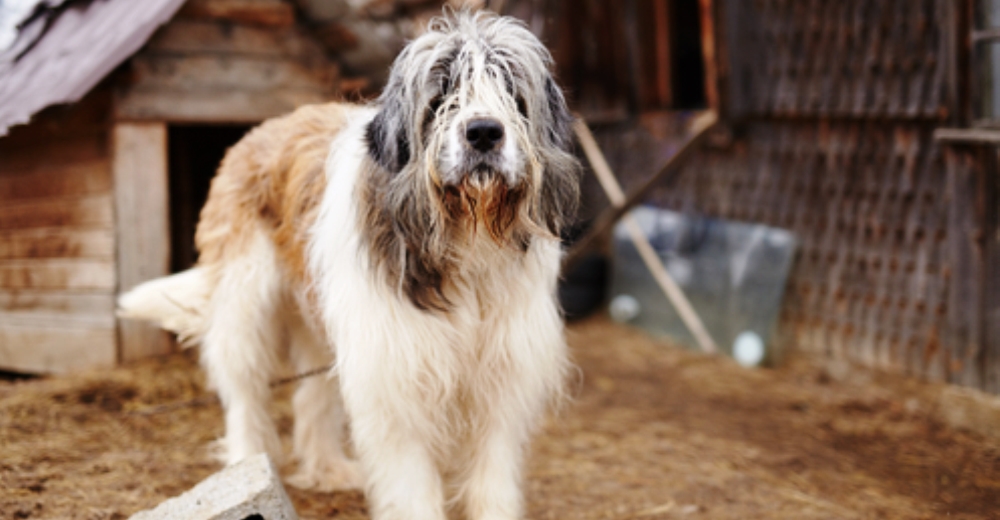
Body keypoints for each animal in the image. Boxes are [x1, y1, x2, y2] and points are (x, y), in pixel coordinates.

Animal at [119, 9, 580, 520]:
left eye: (511, 91)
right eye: (441, 95)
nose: (483, 132)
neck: (465, 236)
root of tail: (261, 128)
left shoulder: (501, 376)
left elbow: (490, 480)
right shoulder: (395, 378)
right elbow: (411, 482)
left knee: (311, 397)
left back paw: (327, 470)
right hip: (245, 304)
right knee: (244, 392)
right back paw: (246, 464)